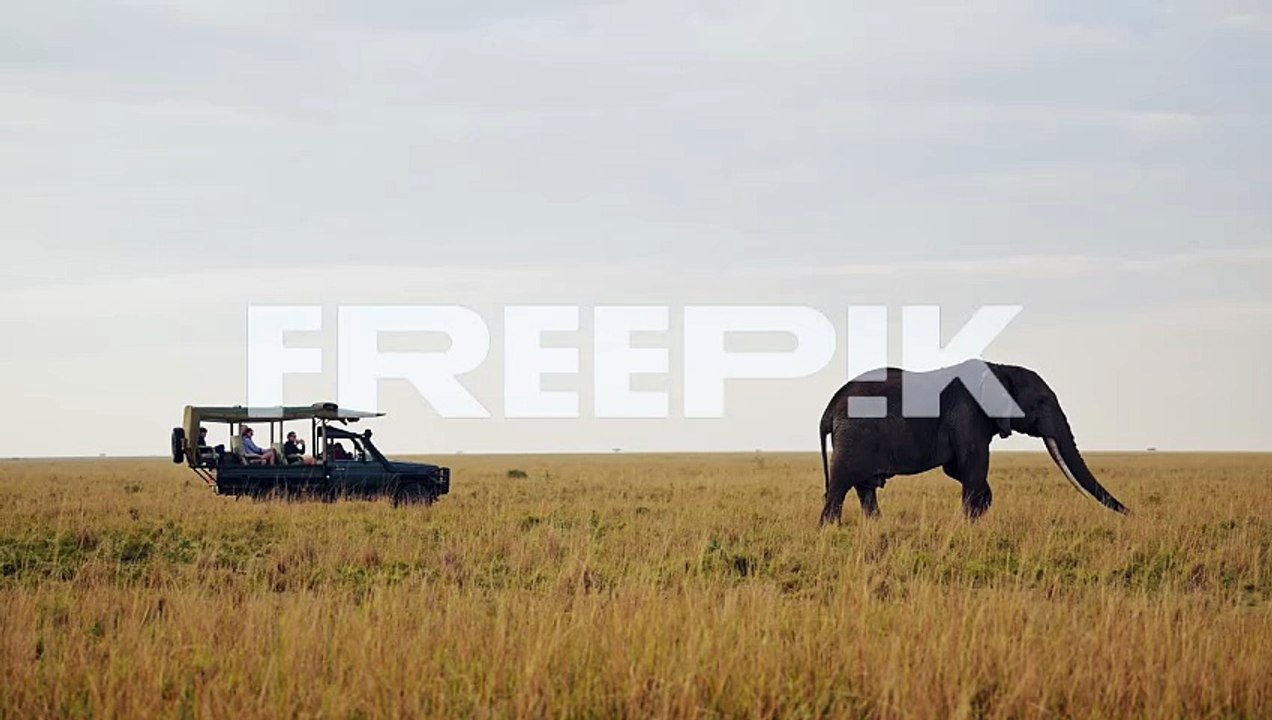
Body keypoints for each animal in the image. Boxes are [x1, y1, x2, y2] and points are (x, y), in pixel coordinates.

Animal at [817, 359, 1128, 525]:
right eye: (1041, 402)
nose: (1131, 514)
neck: (999, 370)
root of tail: (829, 409)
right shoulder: (967, 415)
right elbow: (973, 466)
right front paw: (970, 523)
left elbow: (958, 469)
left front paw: (979, 512)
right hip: (854, 434)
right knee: (840, 485)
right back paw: (830, 530)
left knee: (865, 487)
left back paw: (876, 526)